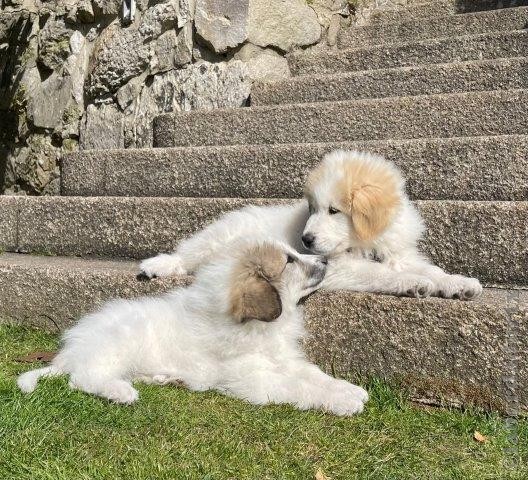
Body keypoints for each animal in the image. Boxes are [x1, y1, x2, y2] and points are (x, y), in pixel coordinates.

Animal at [18, 242, 370, 414]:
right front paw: (343, 402)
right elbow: (299, 387)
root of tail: (70, 352)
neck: (264, 328)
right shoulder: (254, 379)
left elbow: (315, 375)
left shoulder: (286, 360)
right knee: (83, 379)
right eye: (290, 261)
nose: (326, 261)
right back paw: (121, 392)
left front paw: (347, 388)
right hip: (118, 345)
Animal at [139, 150, 482, 300]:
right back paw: (157, 265)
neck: (366, 243)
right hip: (218, 236)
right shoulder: (337, 267)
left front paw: (458, 283)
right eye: (313, 208)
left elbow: (429, 268)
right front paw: (415, 283)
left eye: (333, 211)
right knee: (188, 254)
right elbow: (380, 273)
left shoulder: (399, 252)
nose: (305, 239)